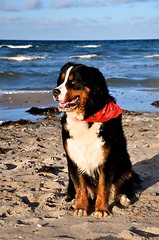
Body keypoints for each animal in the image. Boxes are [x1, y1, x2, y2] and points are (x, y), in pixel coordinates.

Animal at [52, 61, 139, 218]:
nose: (54, 92)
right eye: (60, 81)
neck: (88, 117)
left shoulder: (108, 158)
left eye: (73, 82)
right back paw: (73, 200)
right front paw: (81, 207)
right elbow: (80, 186)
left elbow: (103, 186)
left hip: (125, 165)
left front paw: (102, 210)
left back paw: (123, 198)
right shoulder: (73, 158)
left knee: (121, 187)